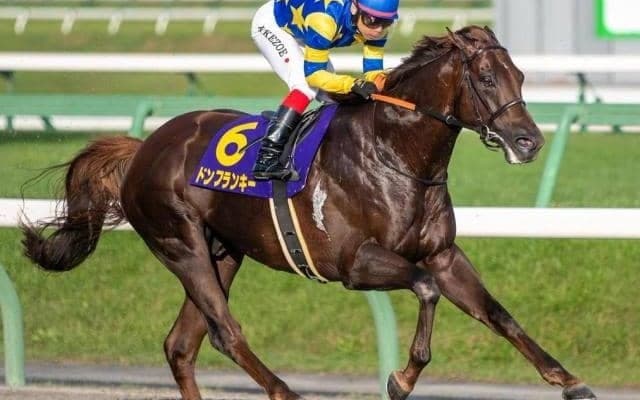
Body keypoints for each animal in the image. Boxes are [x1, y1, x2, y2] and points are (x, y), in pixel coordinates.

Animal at [21, 26, 597, 400]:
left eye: (519, 73)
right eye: (485, 77)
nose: (529, 142)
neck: (395, 154)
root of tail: (144, 147)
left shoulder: (443, 254)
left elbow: (497, 312)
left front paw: (570, 381)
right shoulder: (355, 263)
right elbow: (426, 290)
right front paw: (400, 378)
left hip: (222, 253)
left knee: (181, 345)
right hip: (179, 244)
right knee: (226, 333)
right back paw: (285, 392)